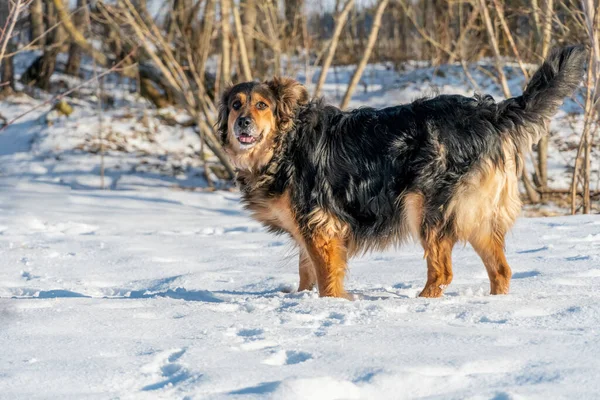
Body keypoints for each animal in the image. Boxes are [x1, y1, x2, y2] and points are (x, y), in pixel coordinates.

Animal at [217, 45, 584, 298]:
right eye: (236, 105)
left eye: (261, 105)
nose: (243, 122)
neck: (284, 145)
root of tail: (488, 113)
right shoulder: (308, 228)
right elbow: (306, 271)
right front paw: (301, 300)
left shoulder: (320, 224)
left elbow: (325, 276)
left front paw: (330, 303)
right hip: (475, 214)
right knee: (501, 270)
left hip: (426, 207)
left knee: (442, 272)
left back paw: (421, 303)